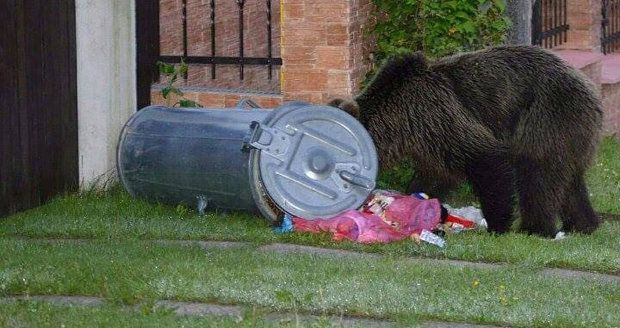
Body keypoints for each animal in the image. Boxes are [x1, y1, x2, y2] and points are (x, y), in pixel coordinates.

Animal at [332, 44, 604, 237]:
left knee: (537, 175)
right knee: (569, 182)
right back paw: (583, 224)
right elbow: (435, 176)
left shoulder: (436, 114)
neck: (398, 121)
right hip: (571, 133)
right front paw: (422, 205)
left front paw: (497, 224)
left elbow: (486, 159)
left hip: (547, 116)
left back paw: (536, 228)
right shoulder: (428, 139)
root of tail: (590, 88)